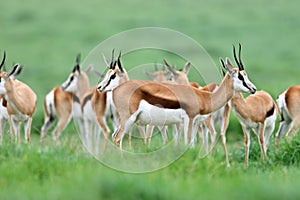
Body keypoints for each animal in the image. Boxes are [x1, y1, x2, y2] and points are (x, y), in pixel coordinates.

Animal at [99, 54, 256, 150]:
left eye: (245, 74)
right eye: (240, 76)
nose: (253, 89)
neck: (203, 96)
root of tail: (116, 89)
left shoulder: (192, 123)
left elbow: (189, 143)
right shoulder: (189, 120)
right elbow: (187, 143)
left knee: (114, 136)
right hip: (129, 119)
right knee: (117, 138)